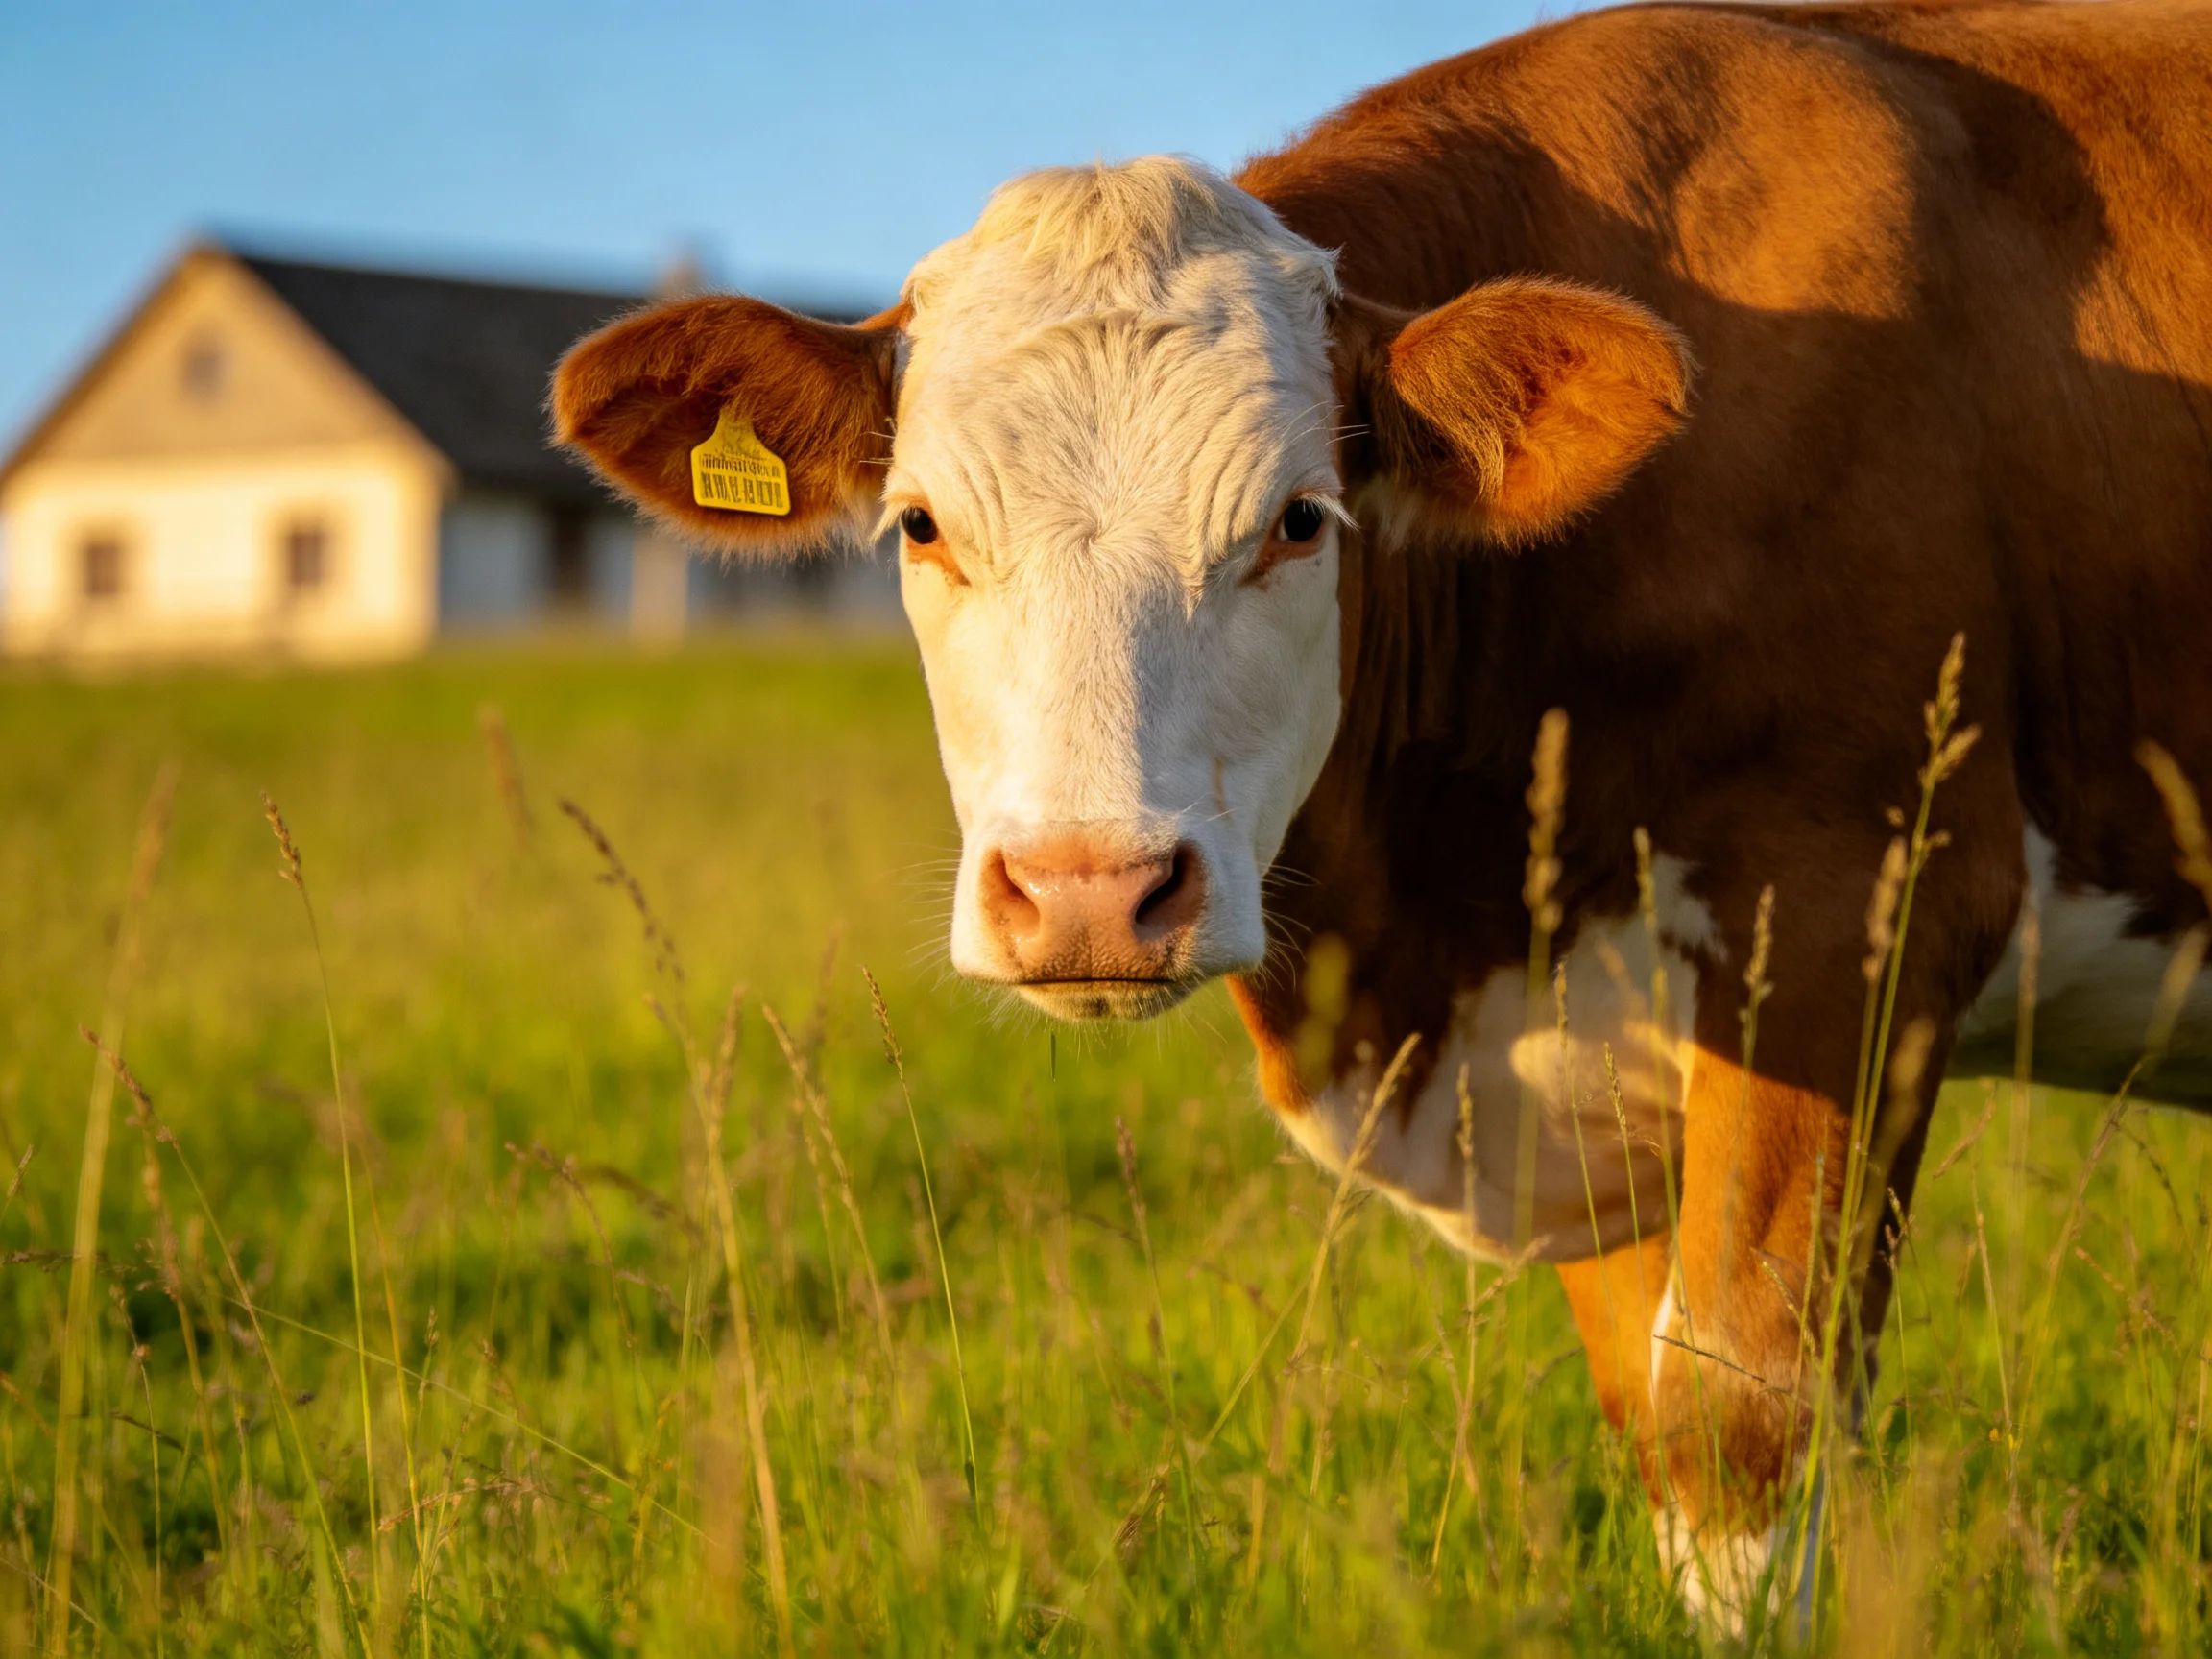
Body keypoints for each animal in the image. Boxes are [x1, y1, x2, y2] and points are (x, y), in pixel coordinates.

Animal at [552, 0, 2212, 1618]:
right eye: (918, 523)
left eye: (1299, 520)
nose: (1090, 891)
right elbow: (1663, 1427)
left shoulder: (1849, 921)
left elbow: (1742, 1413)